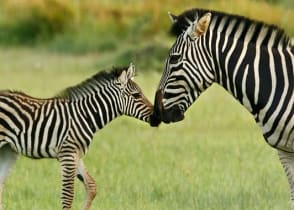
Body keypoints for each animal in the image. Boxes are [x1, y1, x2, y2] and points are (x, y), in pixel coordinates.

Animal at [0, 63, 154, 209]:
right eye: (136, 95)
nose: (156, 116)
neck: (84, 116)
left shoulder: (75, 153)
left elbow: (91, 186)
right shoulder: (68, 154)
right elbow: (68, 196)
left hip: (8, 150)